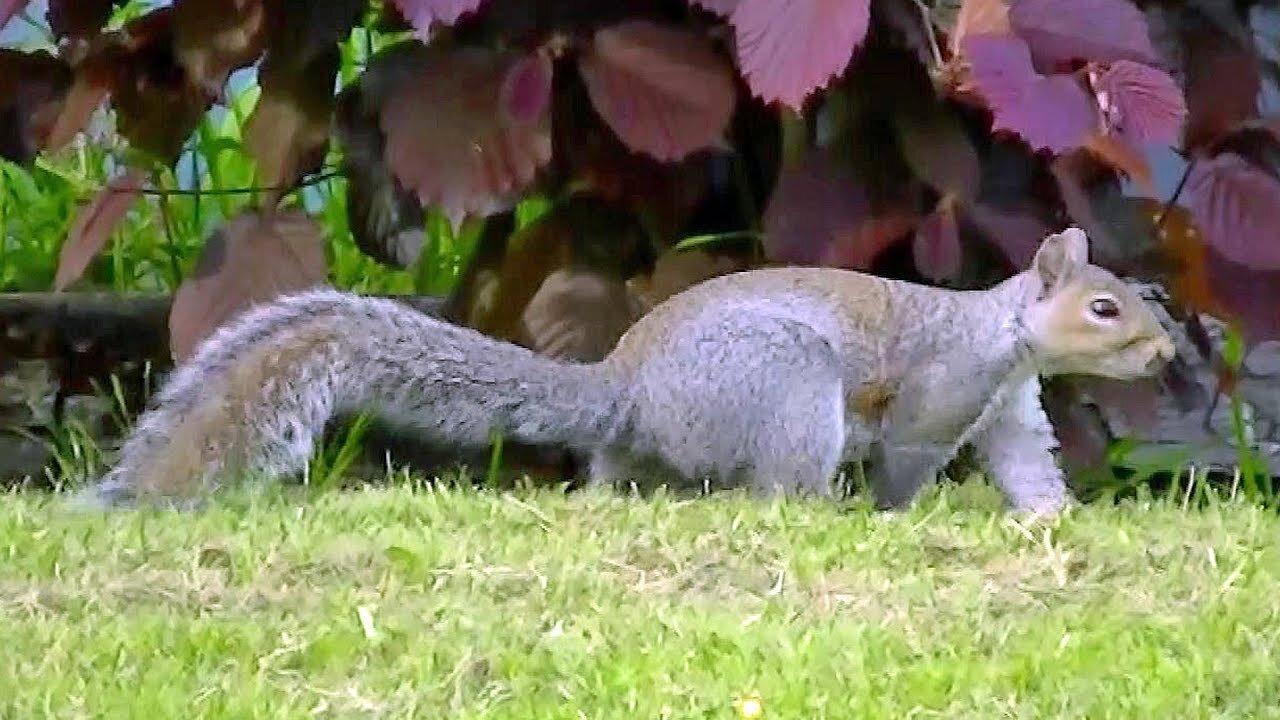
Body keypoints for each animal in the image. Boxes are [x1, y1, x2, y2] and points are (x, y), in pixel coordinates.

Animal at [72, 225, 1172, 509]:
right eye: (1103, 306)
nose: (1165, 349)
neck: (999, 334)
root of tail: (624, 391)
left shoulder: (1008, 408)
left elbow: (1025, 464)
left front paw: (1051, 521)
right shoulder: (940, 390)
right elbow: (906, 457)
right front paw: (894, 519)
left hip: (655, 446)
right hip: (786, 386)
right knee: (774, 487)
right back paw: (816, 509)